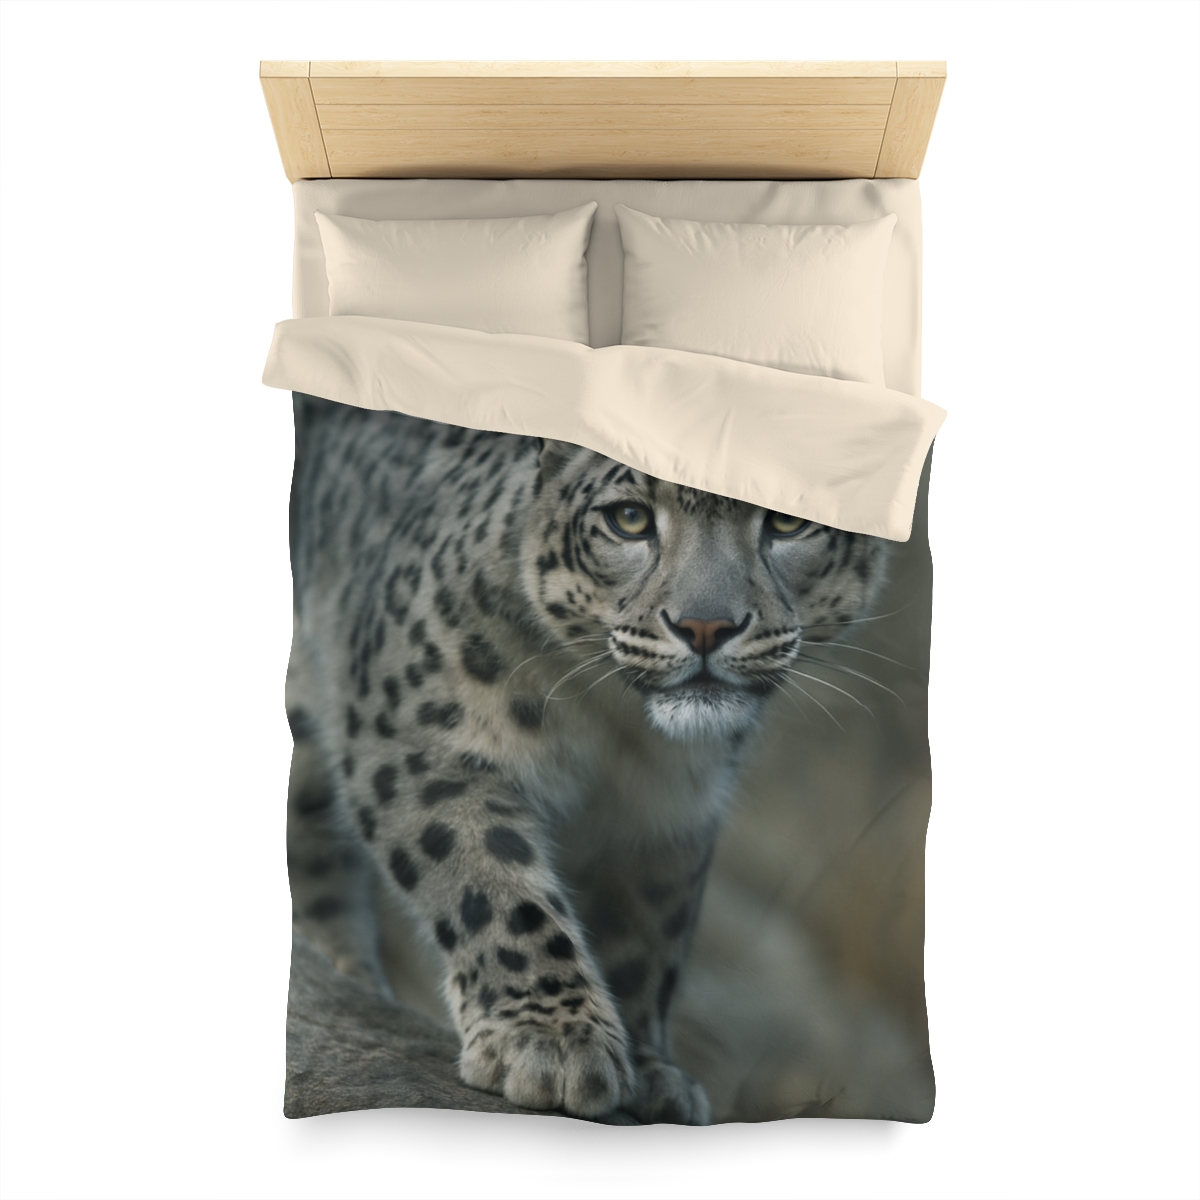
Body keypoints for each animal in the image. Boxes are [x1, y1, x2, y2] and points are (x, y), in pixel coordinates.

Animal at [284, 392, 887, 1124]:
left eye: (787, 520)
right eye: (628, 518)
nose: (705, 626)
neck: (616, 733)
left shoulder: (667, 818)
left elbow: (646, 934)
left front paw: (654, 1073)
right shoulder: (423, 742)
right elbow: (493, 885)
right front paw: (552, 1044)